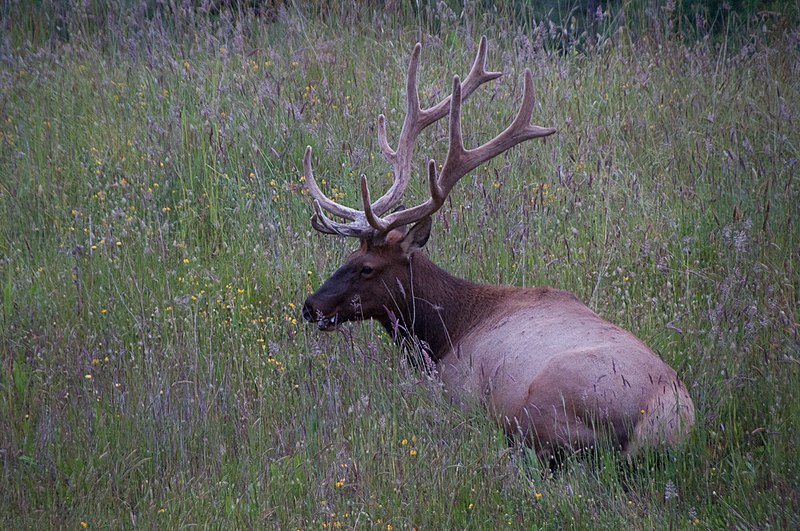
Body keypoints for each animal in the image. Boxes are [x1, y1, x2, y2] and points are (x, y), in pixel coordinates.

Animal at [300, 37, 692, 460]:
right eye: (348, 257)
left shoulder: (456, 386)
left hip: (544, 403)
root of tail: (658, 421)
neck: (443, 334)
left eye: (367, 267)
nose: (310, 306)